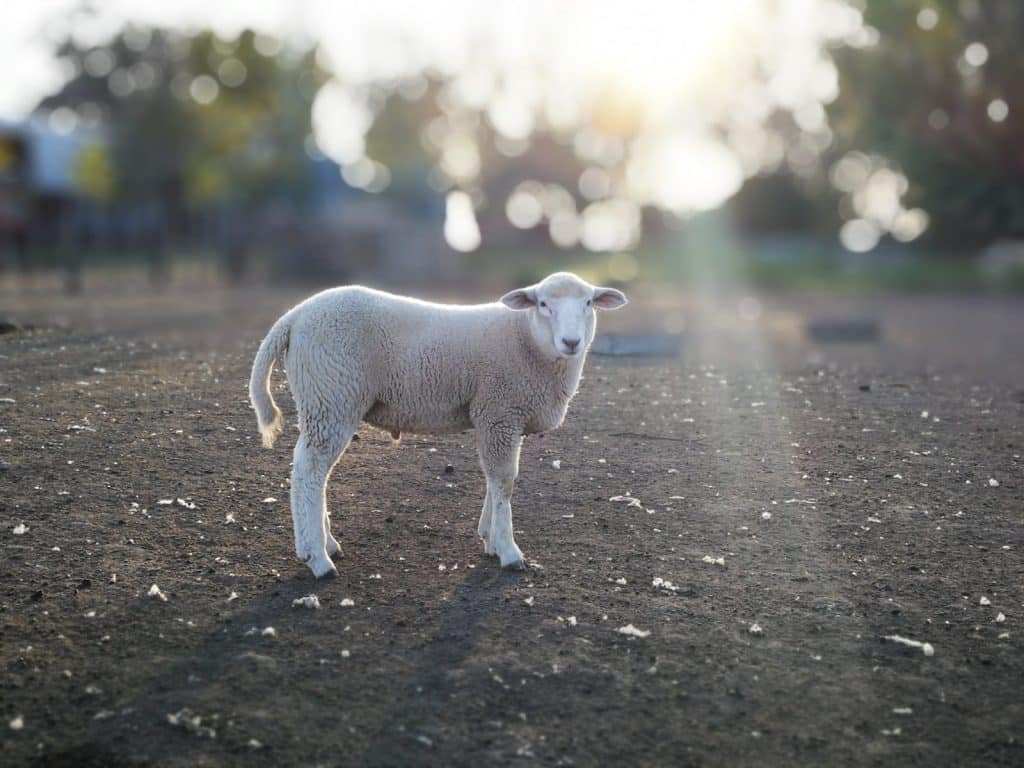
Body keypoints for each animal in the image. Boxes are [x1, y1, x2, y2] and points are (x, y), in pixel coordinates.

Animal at [249, 271, 627, 578]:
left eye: (589, 303)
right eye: (544, 304)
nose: (571, 342)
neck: (528, 340)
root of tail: (295, 316)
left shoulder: (496, 418)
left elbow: (494, 480)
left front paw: (489, 538)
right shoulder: (500, 411)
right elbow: (504, 481)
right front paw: (508, 550)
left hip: (326, 399)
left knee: (315, 474)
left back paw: (327, 546)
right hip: (330, 396)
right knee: (309, 474)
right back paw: (316, 558)